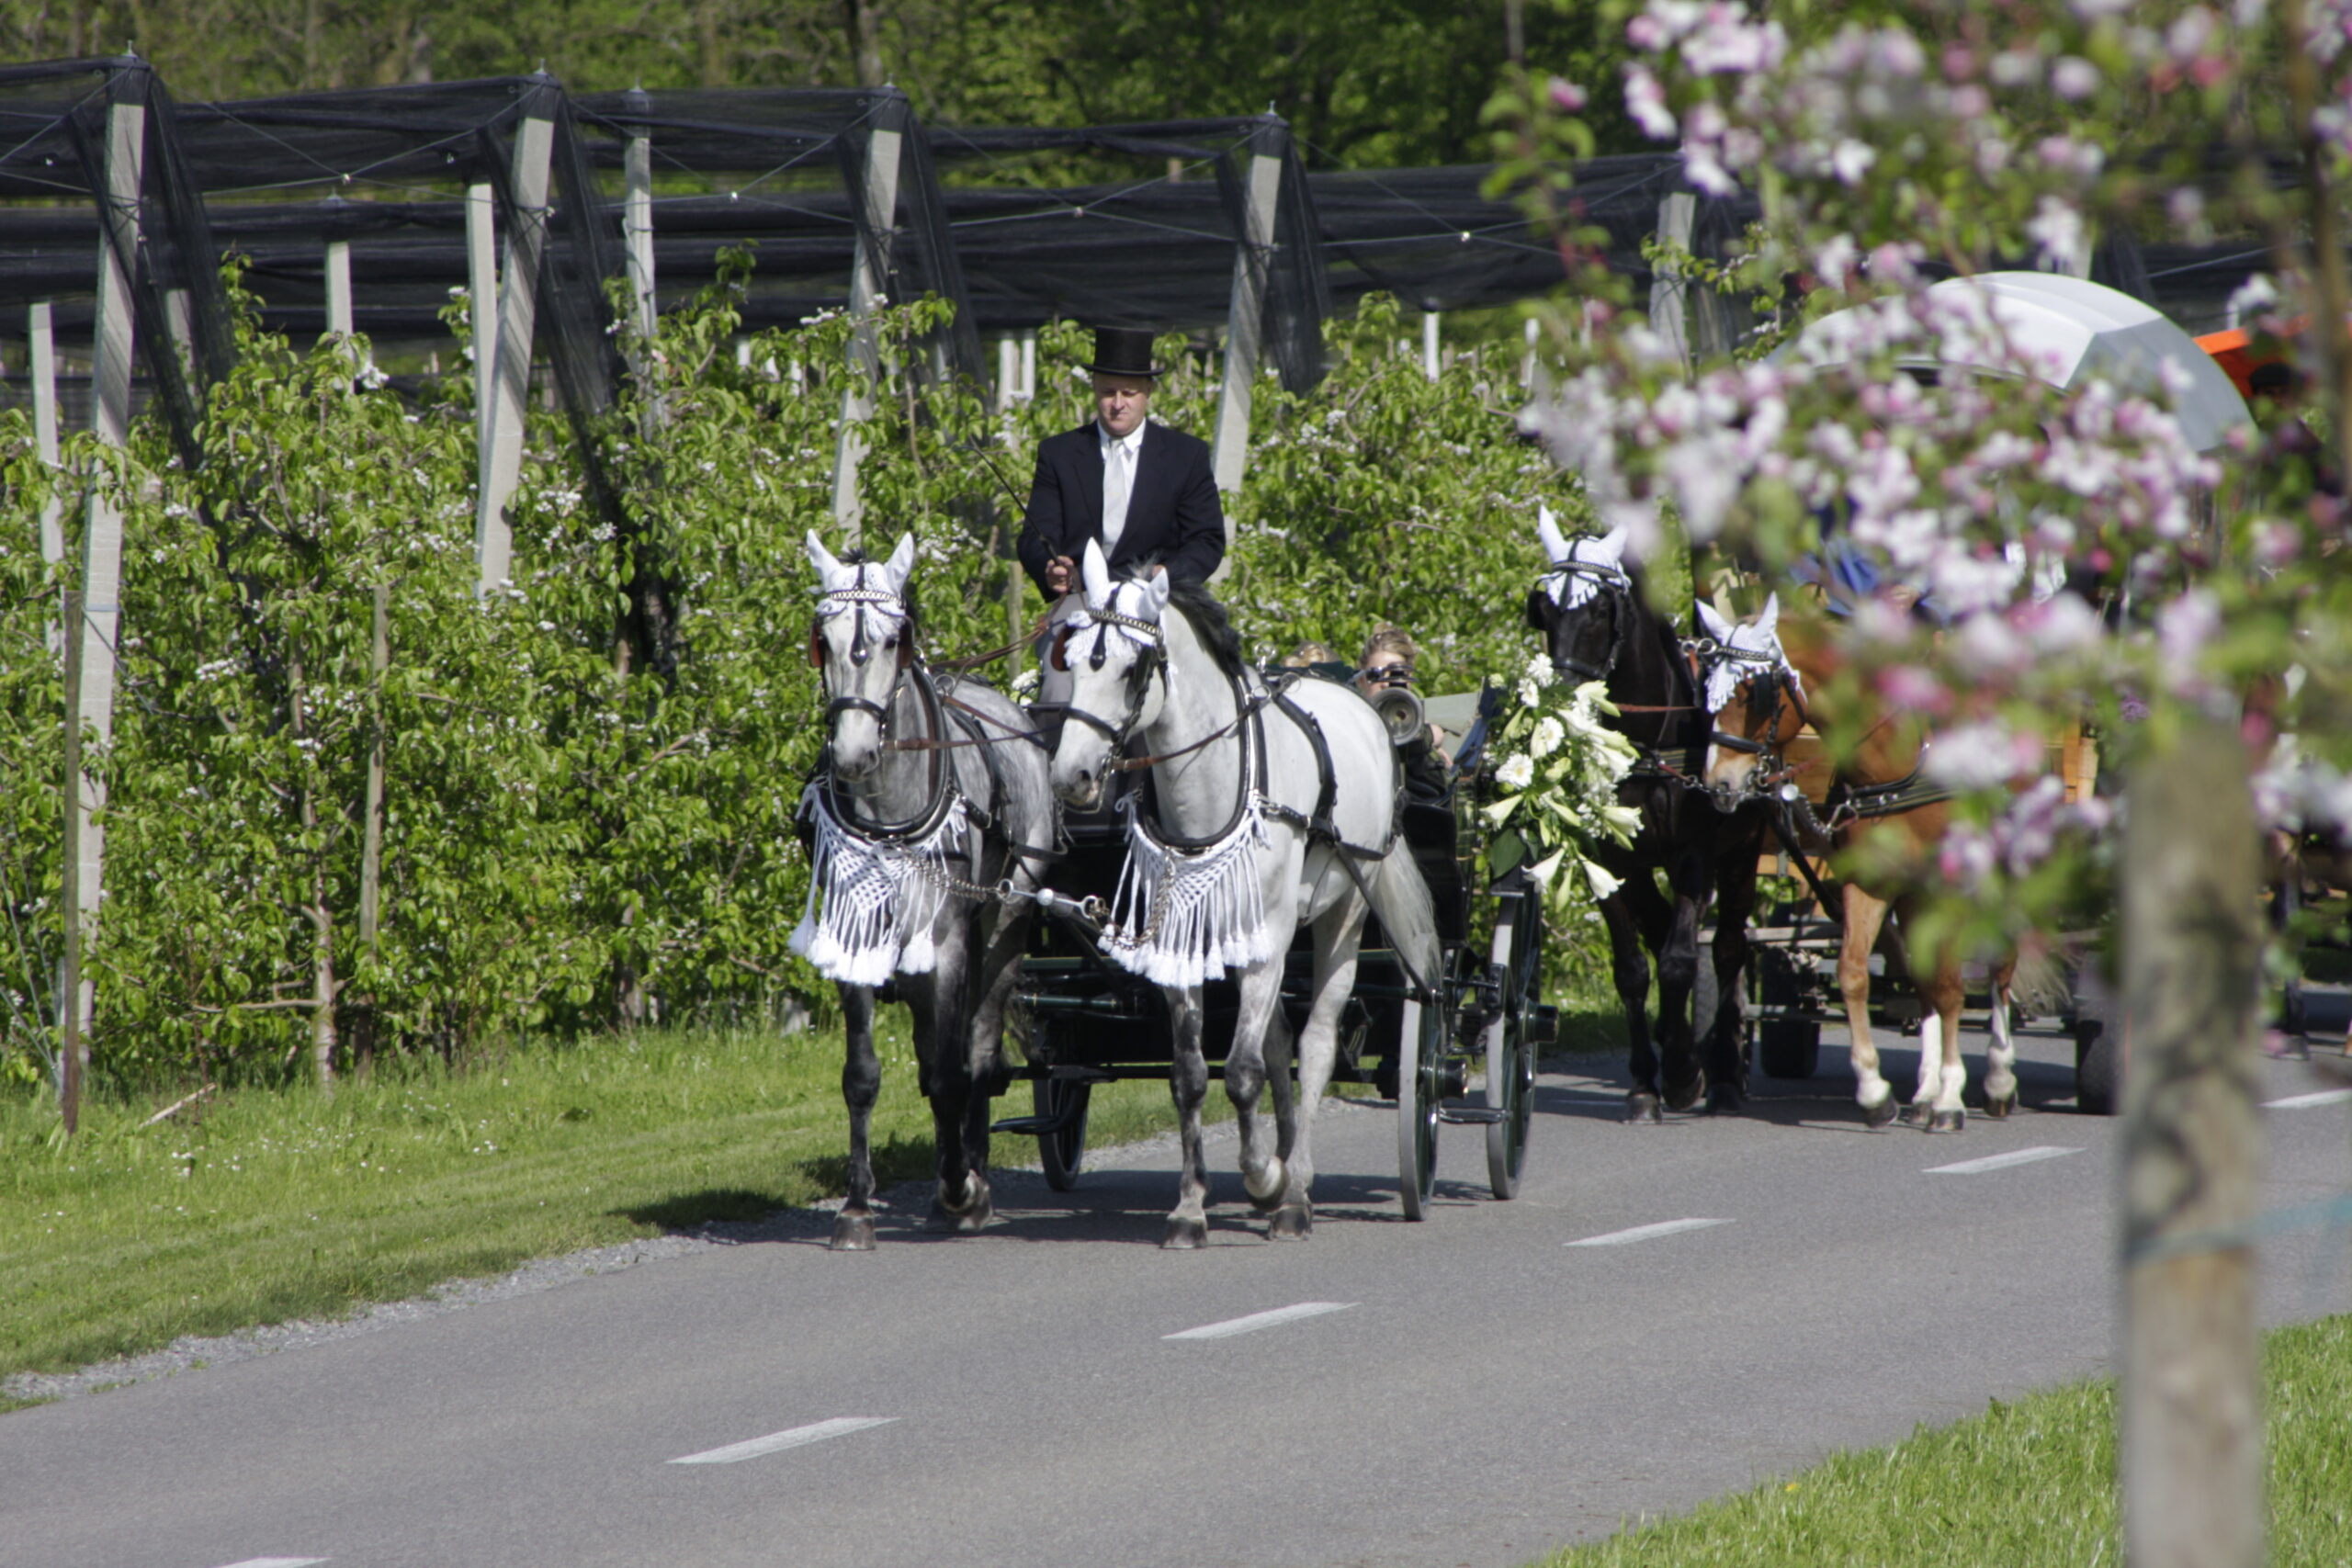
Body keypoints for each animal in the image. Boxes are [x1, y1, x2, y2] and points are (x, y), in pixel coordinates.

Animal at [796, 531, 1056, 1247]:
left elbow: (948, 1073)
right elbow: (862, 1076)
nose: (853, 755)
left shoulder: (947, 945)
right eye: (823, 639)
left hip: (1003, 929)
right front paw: (857, 1208)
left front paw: (959, 1187)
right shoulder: (855, 943)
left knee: (978, 1052)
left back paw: (974, 1177)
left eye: (894, 640)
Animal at [1046, 539, 1442, 1247]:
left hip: (1343, 915)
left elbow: (1242, 1070)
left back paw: (1296, 1190)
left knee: (1314, 1043)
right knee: (1280, 1042)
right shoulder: (1181, 944)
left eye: (1132, 668)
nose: (1073, 777)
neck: (1215, 781)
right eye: (1070, 655)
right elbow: (1192, 1075)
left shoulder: (1266, 943)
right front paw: (1190, 1208)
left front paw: (1264, 1177)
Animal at [1523, 510, 1769, 1120]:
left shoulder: (1694, 856)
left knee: (1728, 948)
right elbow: (1633, 970)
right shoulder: (1611, 859)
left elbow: (1681, 959)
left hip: (1744, 849)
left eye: (1600, 610)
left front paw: (1682, 1074)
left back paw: (1723, 1071)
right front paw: (1644, 1083)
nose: (1562, 701)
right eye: (1544, 609)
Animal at [1698, 599, 2023, 1130]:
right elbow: (1855, 973)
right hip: (1912, 899)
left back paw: (1997, 1079)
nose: (1719, 784)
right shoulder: (1871, 885)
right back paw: (1924, 1091)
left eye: (1751, 692)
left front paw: (1953, 1098)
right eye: (1707, 687)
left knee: (2000, 966)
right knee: (1921, 977)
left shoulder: (1945, 887)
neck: (1896, 765)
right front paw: (1876, 1092)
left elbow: (1953, 986)